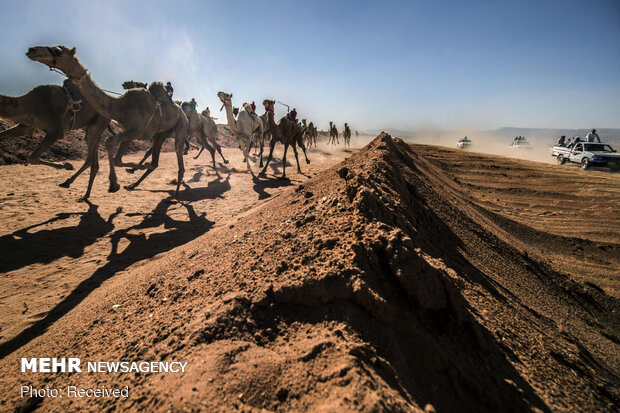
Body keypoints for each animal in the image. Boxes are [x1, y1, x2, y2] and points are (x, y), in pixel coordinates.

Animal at [26, 45, 190, 198]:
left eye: (58, 51)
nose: (32, 50)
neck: (119, 106)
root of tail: (183, 113)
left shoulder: (137, 130)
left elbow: (110, 142)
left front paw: (114, 184)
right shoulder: (130, 131)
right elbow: (117, 158)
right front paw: (122, 177)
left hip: (181, 127)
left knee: (178, 152)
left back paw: (176, 194)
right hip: (161, 134)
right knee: (155, 161)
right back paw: (133, 184)